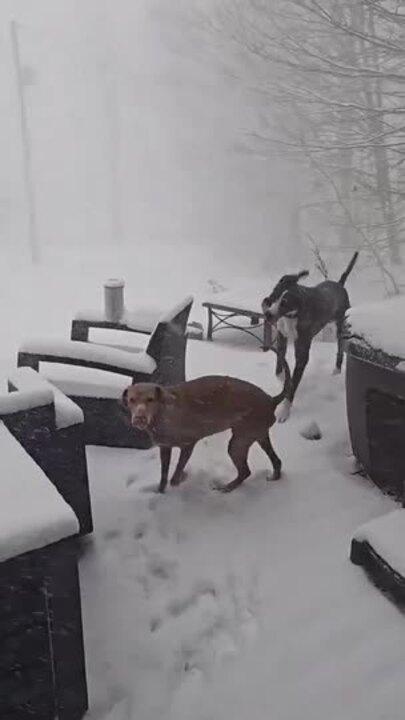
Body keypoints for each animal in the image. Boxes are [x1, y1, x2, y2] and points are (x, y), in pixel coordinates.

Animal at [121, 352, 288, 492]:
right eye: (131, 400)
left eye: (150, 399)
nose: (139, 419)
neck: (163, 414)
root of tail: (271, 400)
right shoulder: (165, 447)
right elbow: (164, 476)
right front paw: (160, 492)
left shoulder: (188, 444)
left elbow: (176, 473)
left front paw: (179, 481)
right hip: (258, 435)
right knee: (276, 461)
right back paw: (273, 477)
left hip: (239, 442)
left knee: (245, 471)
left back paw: (226, 488)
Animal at [262, 253, 356, 422]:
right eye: (274, 294)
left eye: (285, 303)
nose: (268, 314)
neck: (293, 314)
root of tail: (340, 284)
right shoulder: (281, 338)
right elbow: (280, 366)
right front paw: (282, 380)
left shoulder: (302, 352)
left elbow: (293, 384)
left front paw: (284, 411)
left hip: (340, 325)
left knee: (340, 347)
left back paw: (337, 369)